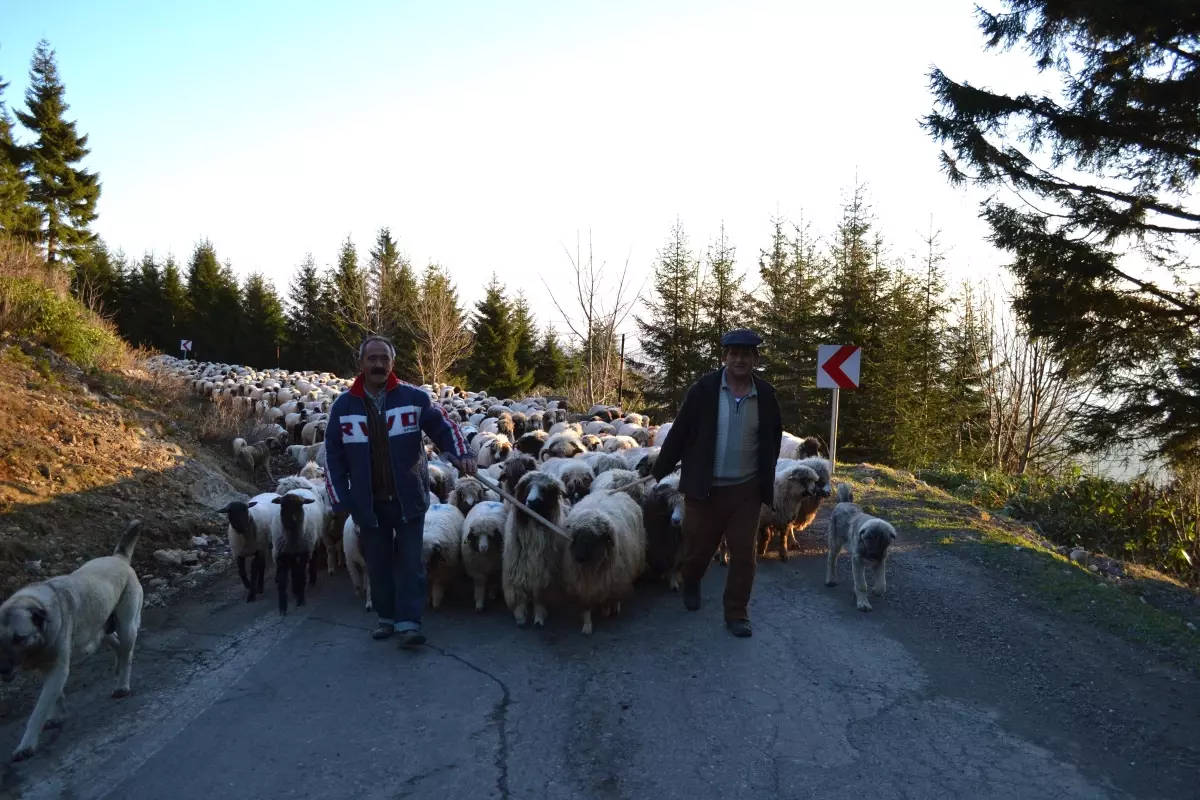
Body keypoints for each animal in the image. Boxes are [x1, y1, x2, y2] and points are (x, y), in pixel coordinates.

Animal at [0, 522, 145, 762]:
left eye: (18, 638)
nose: (2, 670)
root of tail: (118, 558)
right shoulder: (48, 668)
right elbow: (55, 696)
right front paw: (57, 715)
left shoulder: (57, 669)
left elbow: (39, 709)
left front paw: (27, 744)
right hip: (99, 627)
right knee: (117, 645)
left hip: (126, 626)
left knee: (127, 653)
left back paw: (122, 684)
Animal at [561, 491, 648, 633]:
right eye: (576, 536)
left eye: (593, 538)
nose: (578, 557)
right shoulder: (583, 582)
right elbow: (586, 604)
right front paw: (587, 625)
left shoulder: (611, 578)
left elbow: (609, 597)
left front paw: (607, 609)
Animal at [830, 482, 897, 614]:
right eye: (868, 538)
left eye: (884, 540)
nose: (873, 554)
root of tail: (844, 502)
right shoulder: (858, 561)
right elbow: (861, 584)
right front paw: (863, 603)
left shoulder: (880, 562)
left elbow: (882, 584)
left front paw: (876, 591)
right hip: (835, 544)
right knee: (831, 561)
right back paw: (831, 579)